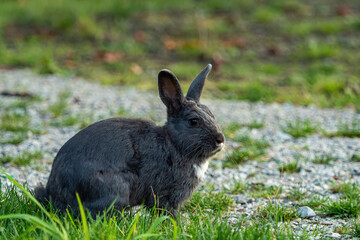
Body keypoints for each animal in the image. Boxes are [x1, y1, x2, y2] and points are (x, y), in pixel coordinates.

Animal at [34, 64, 225, 218]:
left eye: (212, 114)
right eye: (193, 121)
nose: (220, 139)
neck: (174, 144)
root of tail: (54, 195)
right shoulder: (166, 194)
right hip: (114, 188)